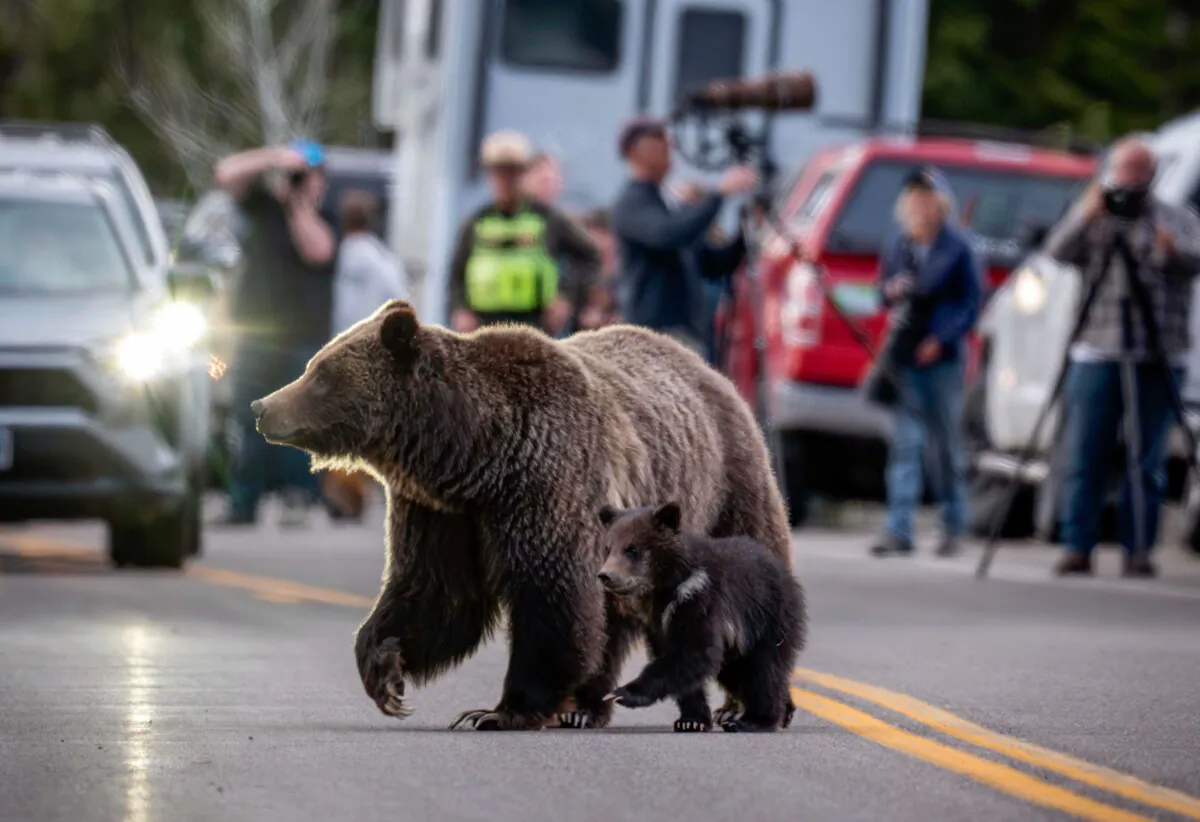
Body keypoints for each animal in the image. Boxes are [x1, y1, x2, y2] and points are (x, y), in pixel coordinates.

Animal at [597, 502, 804, 732]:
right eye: (607, 548)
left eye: (632, 549)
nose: (606, 575)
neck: (666, 589)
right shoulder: (657, 622)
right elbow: (680, 662)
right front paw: (691, 720)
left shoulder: (701, 601)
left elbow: (694, 651)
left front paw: (620, 693)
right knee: (738, 673)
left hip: (769, 620)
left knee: (763, 670)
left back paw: (754, 719)